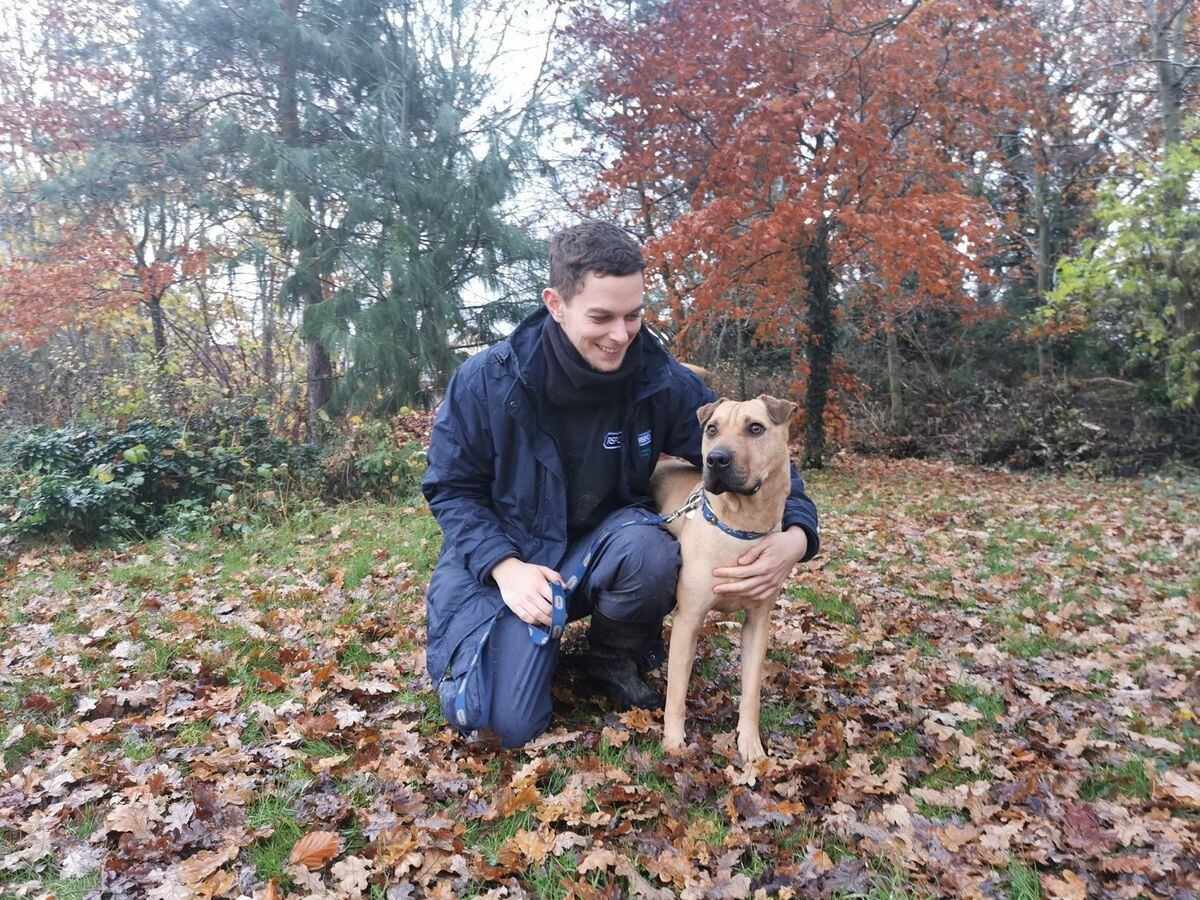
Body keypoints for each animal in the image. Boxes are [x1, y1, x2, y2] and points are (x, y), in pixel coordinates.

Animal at [657, 393, 796, 763]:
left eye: (756, 428)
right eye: (712, 429)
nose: (717, 459)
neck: (740, 525)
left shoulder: (758, 622)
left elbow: (751, 691)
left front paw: (750, 743)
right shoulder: (689, 618)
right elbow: (676, 690)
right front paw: (673, 740)